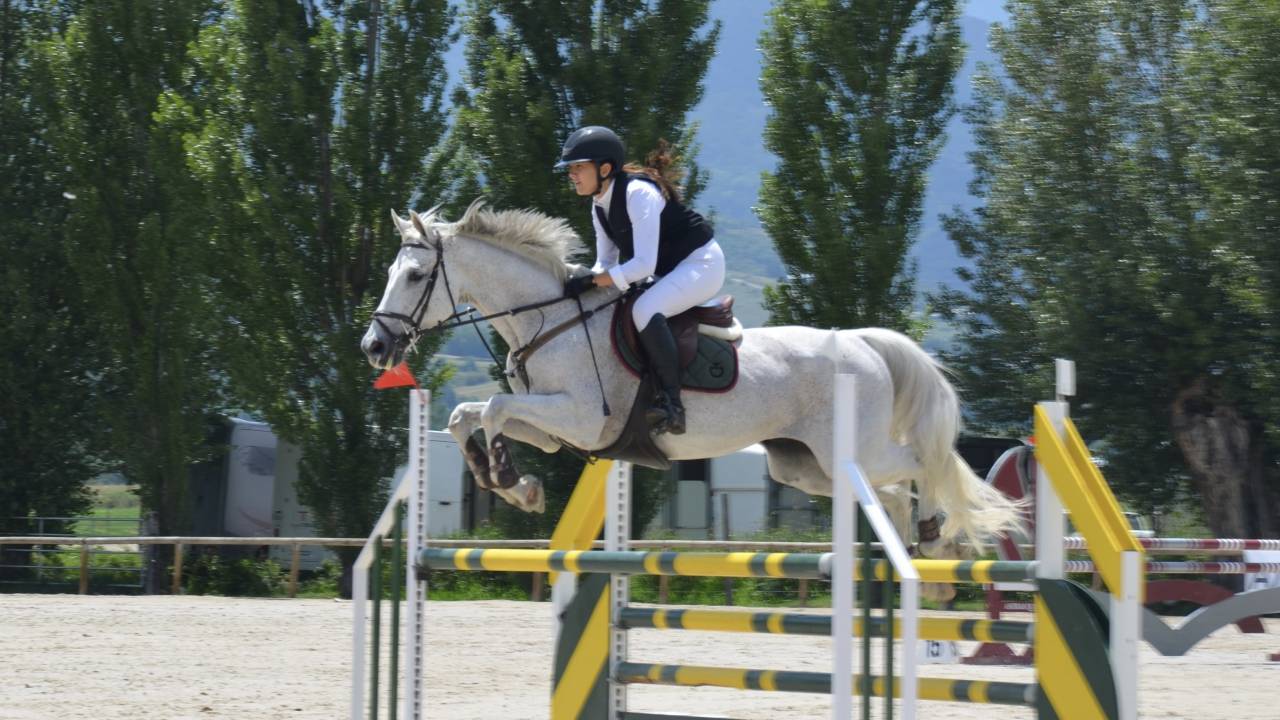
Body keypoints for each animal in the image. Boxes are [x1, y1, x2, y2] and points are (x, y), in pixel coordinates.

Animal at [361, 201, 1022, 554]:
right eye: (392, 271)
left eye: (415, 276)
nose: (375, 346)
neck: (550, 319)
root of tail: (861, 342)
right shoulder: (553, 429)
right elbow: (465, 414)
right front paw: (503, 479)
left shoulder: (581, 418)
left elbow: (494, 410)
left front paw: (513, 484)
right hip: (807, 466)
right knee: (886, 491)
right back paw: (917, 554)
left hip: (853, 450)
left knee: (919, 464)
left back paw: (935, 537)